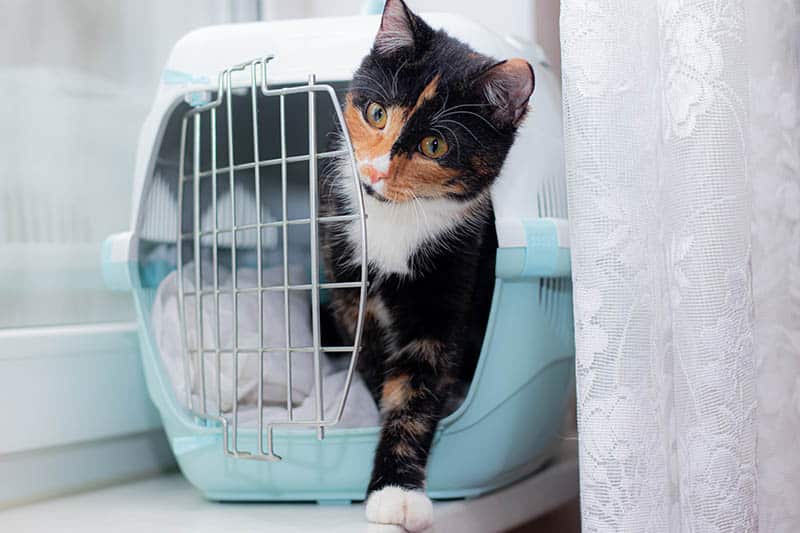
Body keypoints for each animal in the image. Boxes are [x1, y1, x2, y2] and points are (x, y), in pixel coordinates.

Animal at [318, 0, 532, 528]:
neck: (396, 219)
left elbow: (416, 389)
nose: (374, 172)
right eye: (376, 113)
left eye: (434, 145)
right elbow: (374, 364)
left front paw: (396, 491)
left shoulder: (452, 280)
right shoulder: (349, 288)